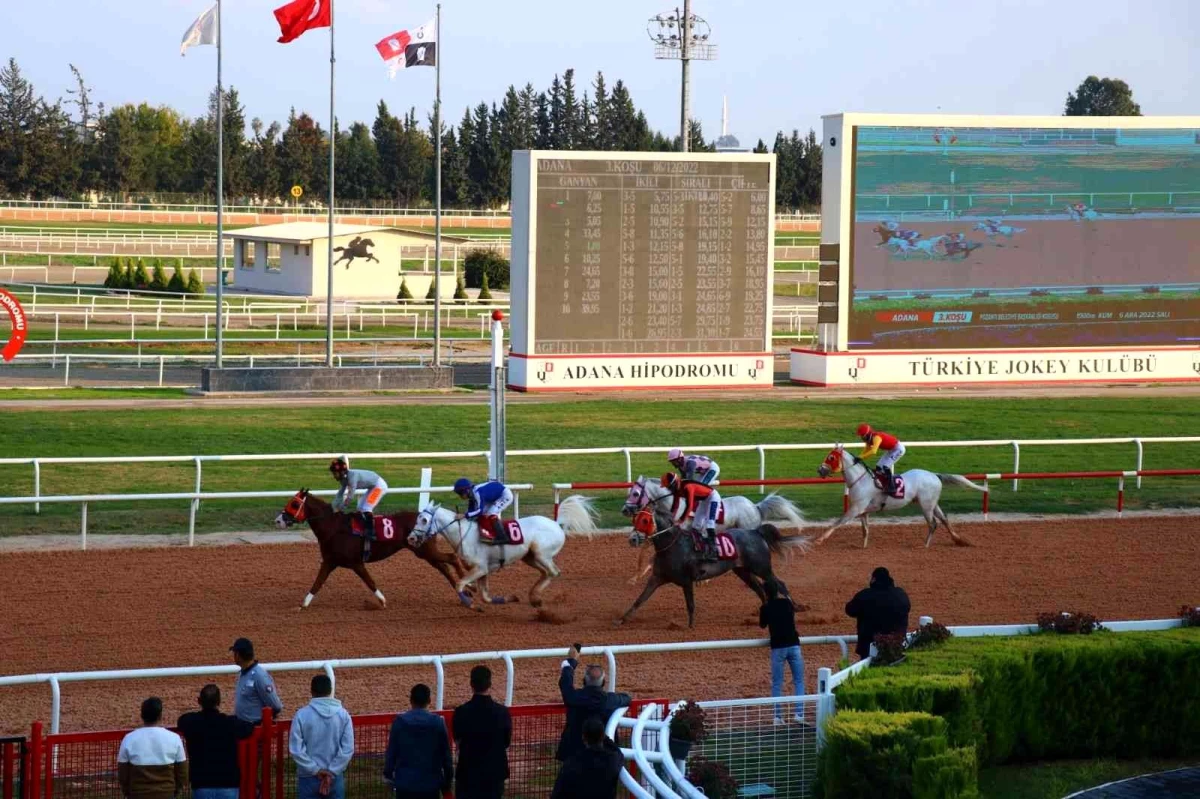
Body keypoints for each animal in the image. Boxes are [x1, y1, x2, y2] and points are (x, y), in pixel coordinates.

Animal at [276, 484, 468, 609]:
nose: (278, 520)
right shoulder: (330, 561)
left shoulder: (355, 562)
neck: (335, 528)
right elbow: (318, 582)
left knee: (450, 558)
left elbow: (369, 581)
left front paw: (382, 601)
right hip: (424, 551)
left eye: (294, 504)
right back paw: (464, 594)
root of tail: (430, 517)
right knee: (443, 566)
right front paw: (303, 604)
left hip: (425, 550)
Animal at [410, 491, 600, 609]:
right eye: (418, 518)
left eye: (424, 520)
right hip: (529, 557)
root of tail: (556, 523)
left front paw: (470, 604)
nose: (410, 538)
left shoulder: (480, 568)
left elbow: (460, 584)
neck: (463, 533)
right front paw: (509, 598)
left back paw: (536, 597)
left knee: (554, 572)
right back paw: (534, 598)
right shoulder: (483, 570)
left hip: (542, 553)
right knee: (545, 573)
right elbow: (485, 597)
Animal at [624, 503, 811, 628]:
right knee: (760, 589)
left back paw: (795, 607)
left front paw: (690, 626)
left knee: (779, 584)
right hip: (743, 571)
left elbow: (690, 604)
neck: (673, 545)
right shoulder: (657, 578)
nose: (633, 539)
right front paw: (622, 619)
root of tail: (755, 532)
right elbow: (640, 599)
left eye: (645, 520)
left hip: (762, 567)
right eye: (635, 519)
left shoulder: (686, 580)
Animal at [811, 441, 979, 547]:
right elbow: (865, 529)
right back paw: (959, 540)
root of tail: (935, 475)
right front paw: (864, 546)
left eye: (831, 457)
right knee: (944, 519)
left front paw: (819, 539)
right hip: (932, 503)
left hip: (926, 506)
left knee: (933, 524)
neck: (861, 479)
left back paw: (925, 545)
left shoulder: (856, 508)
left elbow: (838, 522)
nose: (820, 470)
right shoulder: (863, 510)